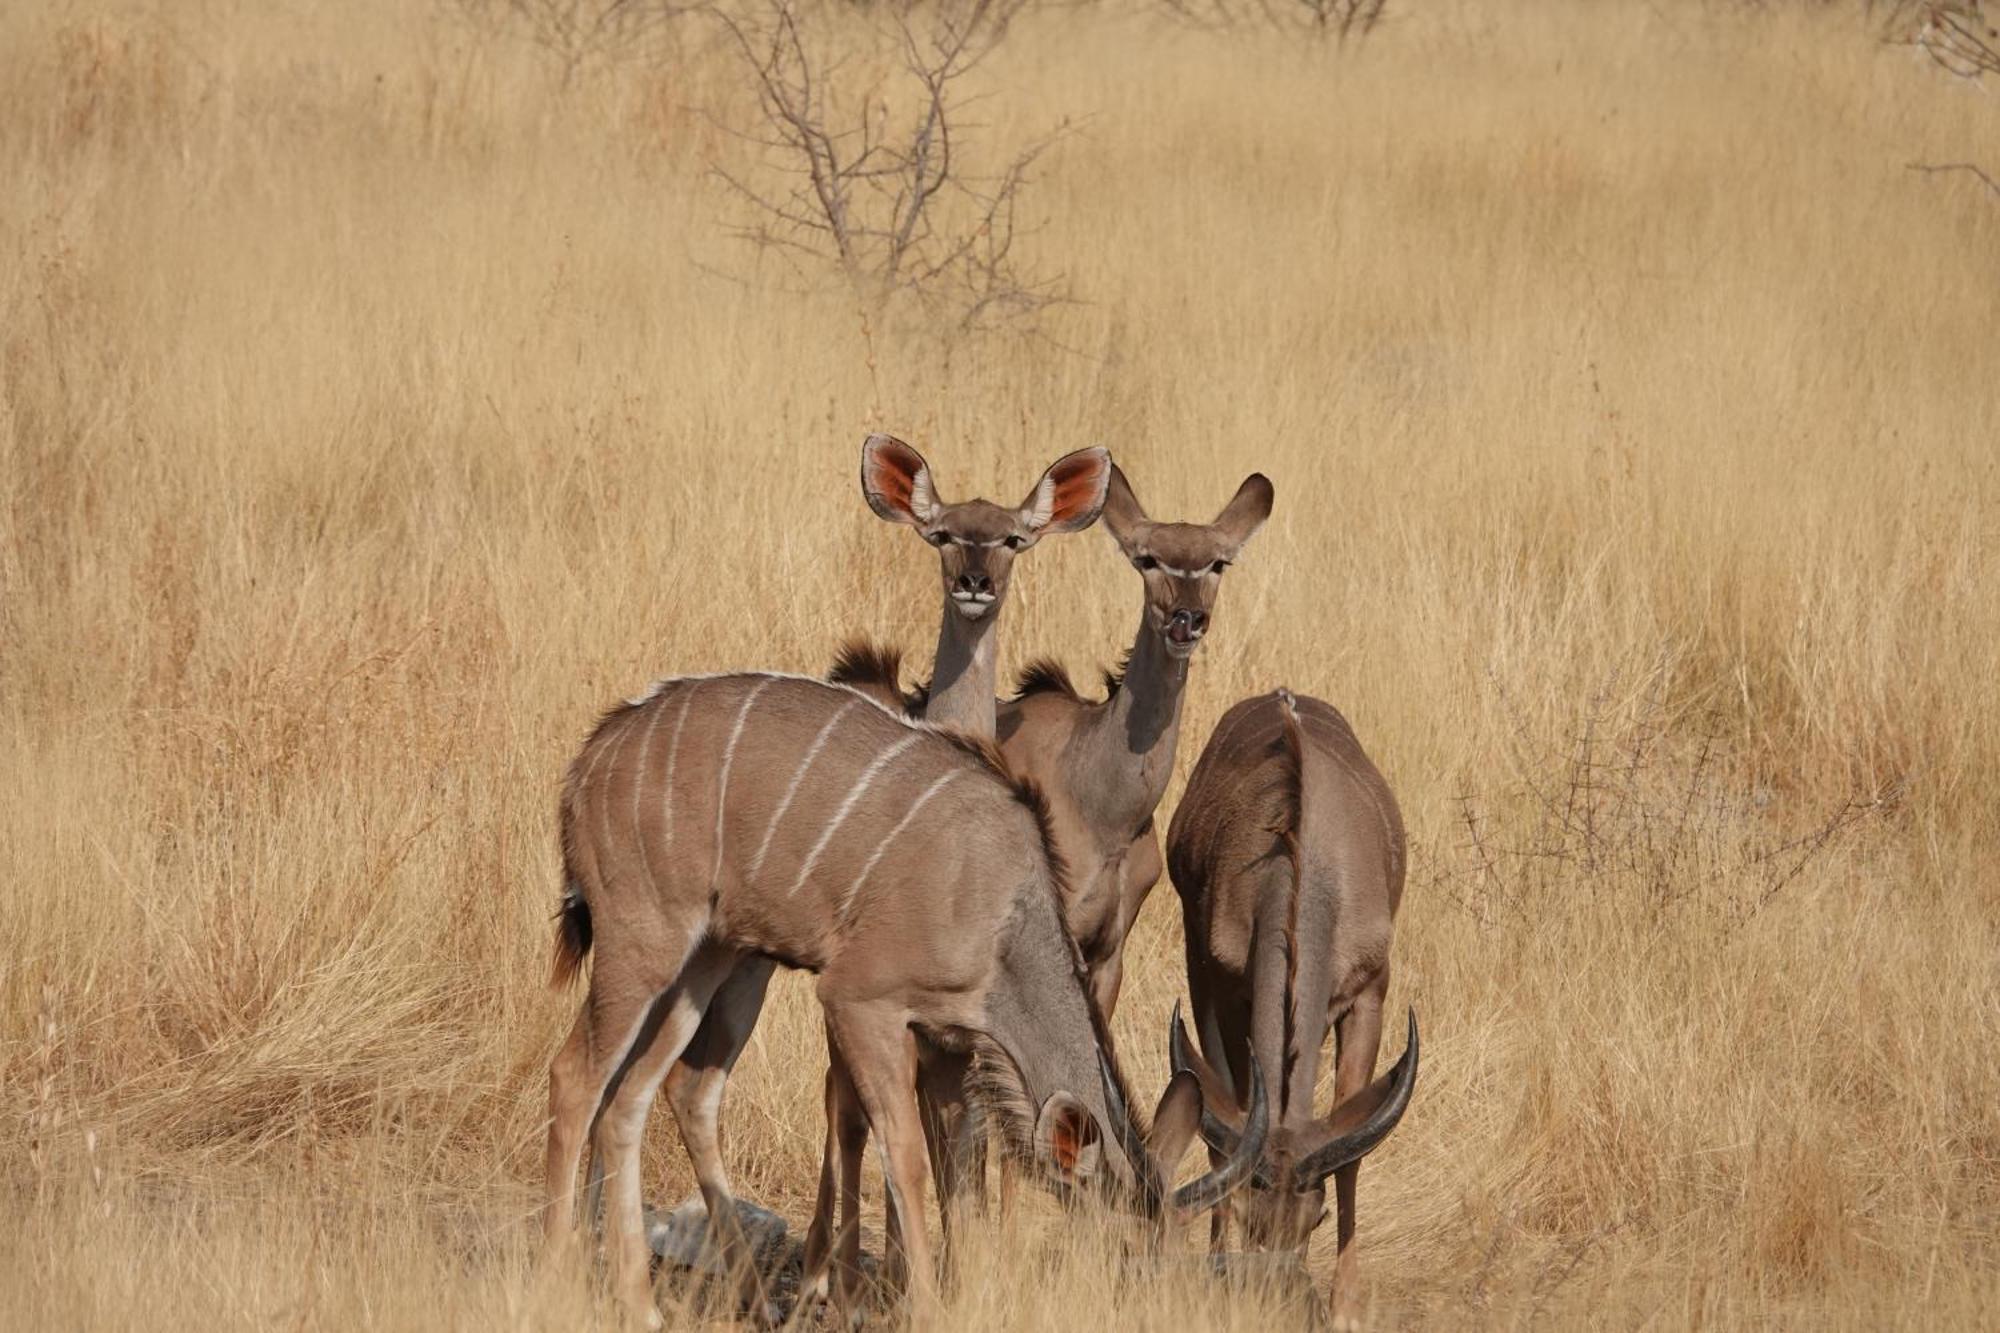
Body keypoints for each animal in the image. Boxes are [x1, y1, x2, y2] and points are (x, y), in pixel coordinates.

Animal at [544, 676, 1264, 1320]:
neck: (1004, 912)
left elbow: (960, 1177)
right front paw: (922, 1304)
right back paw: (568, 1281)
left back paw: (645, 1301)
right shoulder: (860, 999)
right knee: (577, 1076)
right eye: (1123, 1255)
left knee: (640, 1095)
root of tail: (590, 759)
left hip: (706, 958)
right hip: (645, 941)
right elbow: (907, 1158)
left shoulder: (952, 1047)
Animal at [1168, 688, 1416, 1320]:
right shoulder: (1216, 989)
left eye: (1316, 1217)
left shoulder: (1368, 996)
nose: (1274, 1293)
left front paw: (1347, 1306)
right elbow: (1224, 1134)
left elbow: (1349, 1152)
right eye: (1251, 1217)